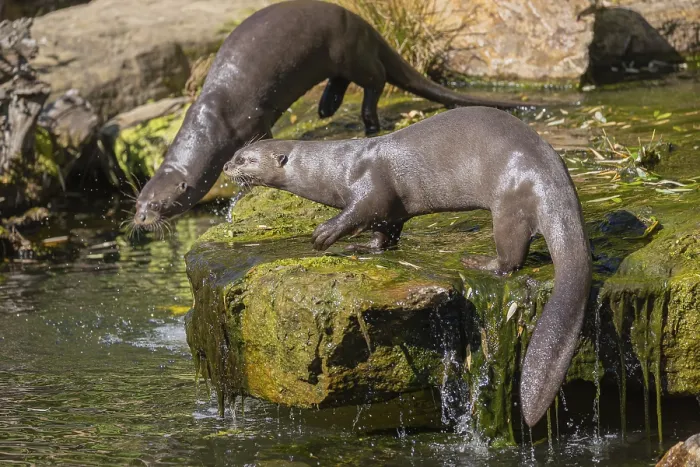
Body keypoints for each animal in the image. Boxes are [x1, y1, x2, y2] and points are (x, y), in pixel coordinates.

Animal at [132, 0, 537, 231]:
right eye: (138, 203)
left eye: (158, 204)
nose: (139, 220)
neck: (210, 122)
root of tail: (361, 21)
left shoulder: (253, 120)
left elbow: (262, 141)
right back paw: (327, 106)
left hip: (349, 50)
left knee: (375, 78)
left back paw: (367, 118)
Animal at [223, 107, 592, 427]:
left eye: (244, 159)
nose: (226, 166)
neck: (333, 168)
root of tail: (551, 176)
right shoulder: (390, 212)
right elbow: (385, 231)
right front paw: (365, 247)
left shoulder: (369, 188)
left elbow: (360, 210)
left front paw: (326, 233)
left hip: (509, 202)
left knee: (511, 256)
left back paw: (481, 263)